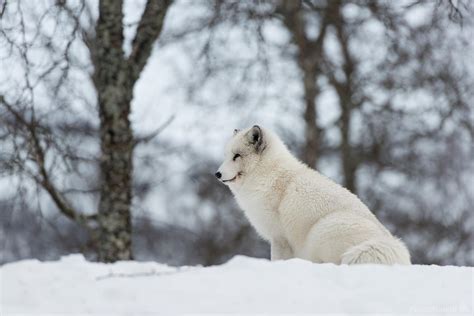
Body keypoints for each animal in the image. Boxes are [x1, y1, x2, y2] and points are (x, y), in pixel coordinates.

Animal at [216, 125, 412, 264]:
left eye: (237, 156)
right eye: (226, 156)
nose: (217, 174)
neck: (268, 173)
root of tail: (391, 244)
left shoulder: (279, 237)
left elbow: (277, 259)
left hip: (321, 231)